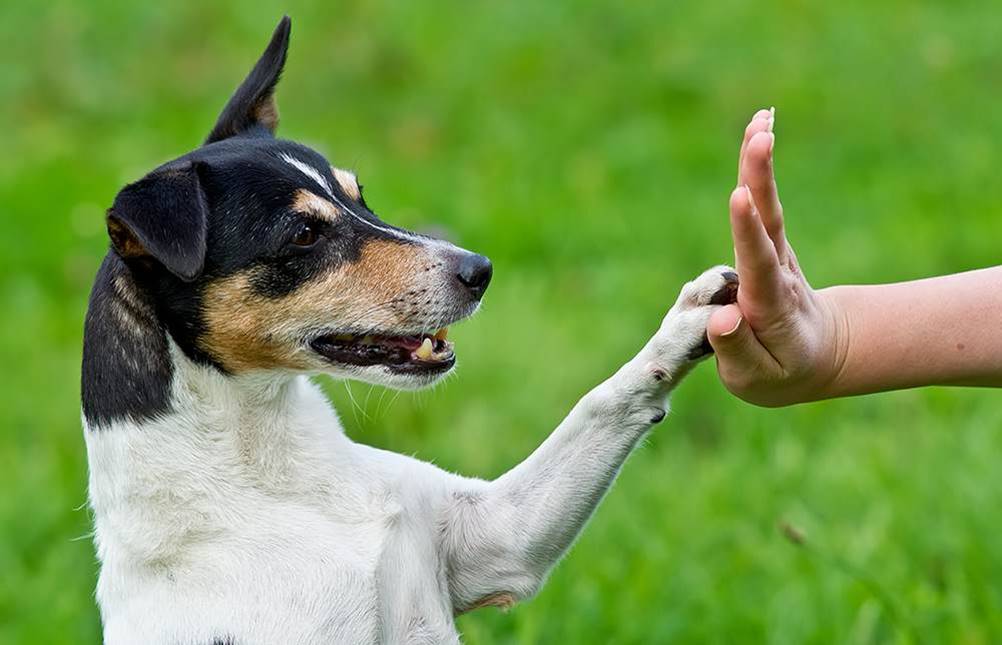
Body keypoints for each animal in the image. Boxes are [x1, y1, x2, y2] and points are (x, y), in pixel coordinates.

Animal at [82, 16, 741, 645]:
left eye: (360, 196)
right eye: (303, 234)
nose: (480, 270)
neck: (272, 473)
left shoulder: (498, 539)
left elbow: (601, 402)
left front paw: (690, 321)